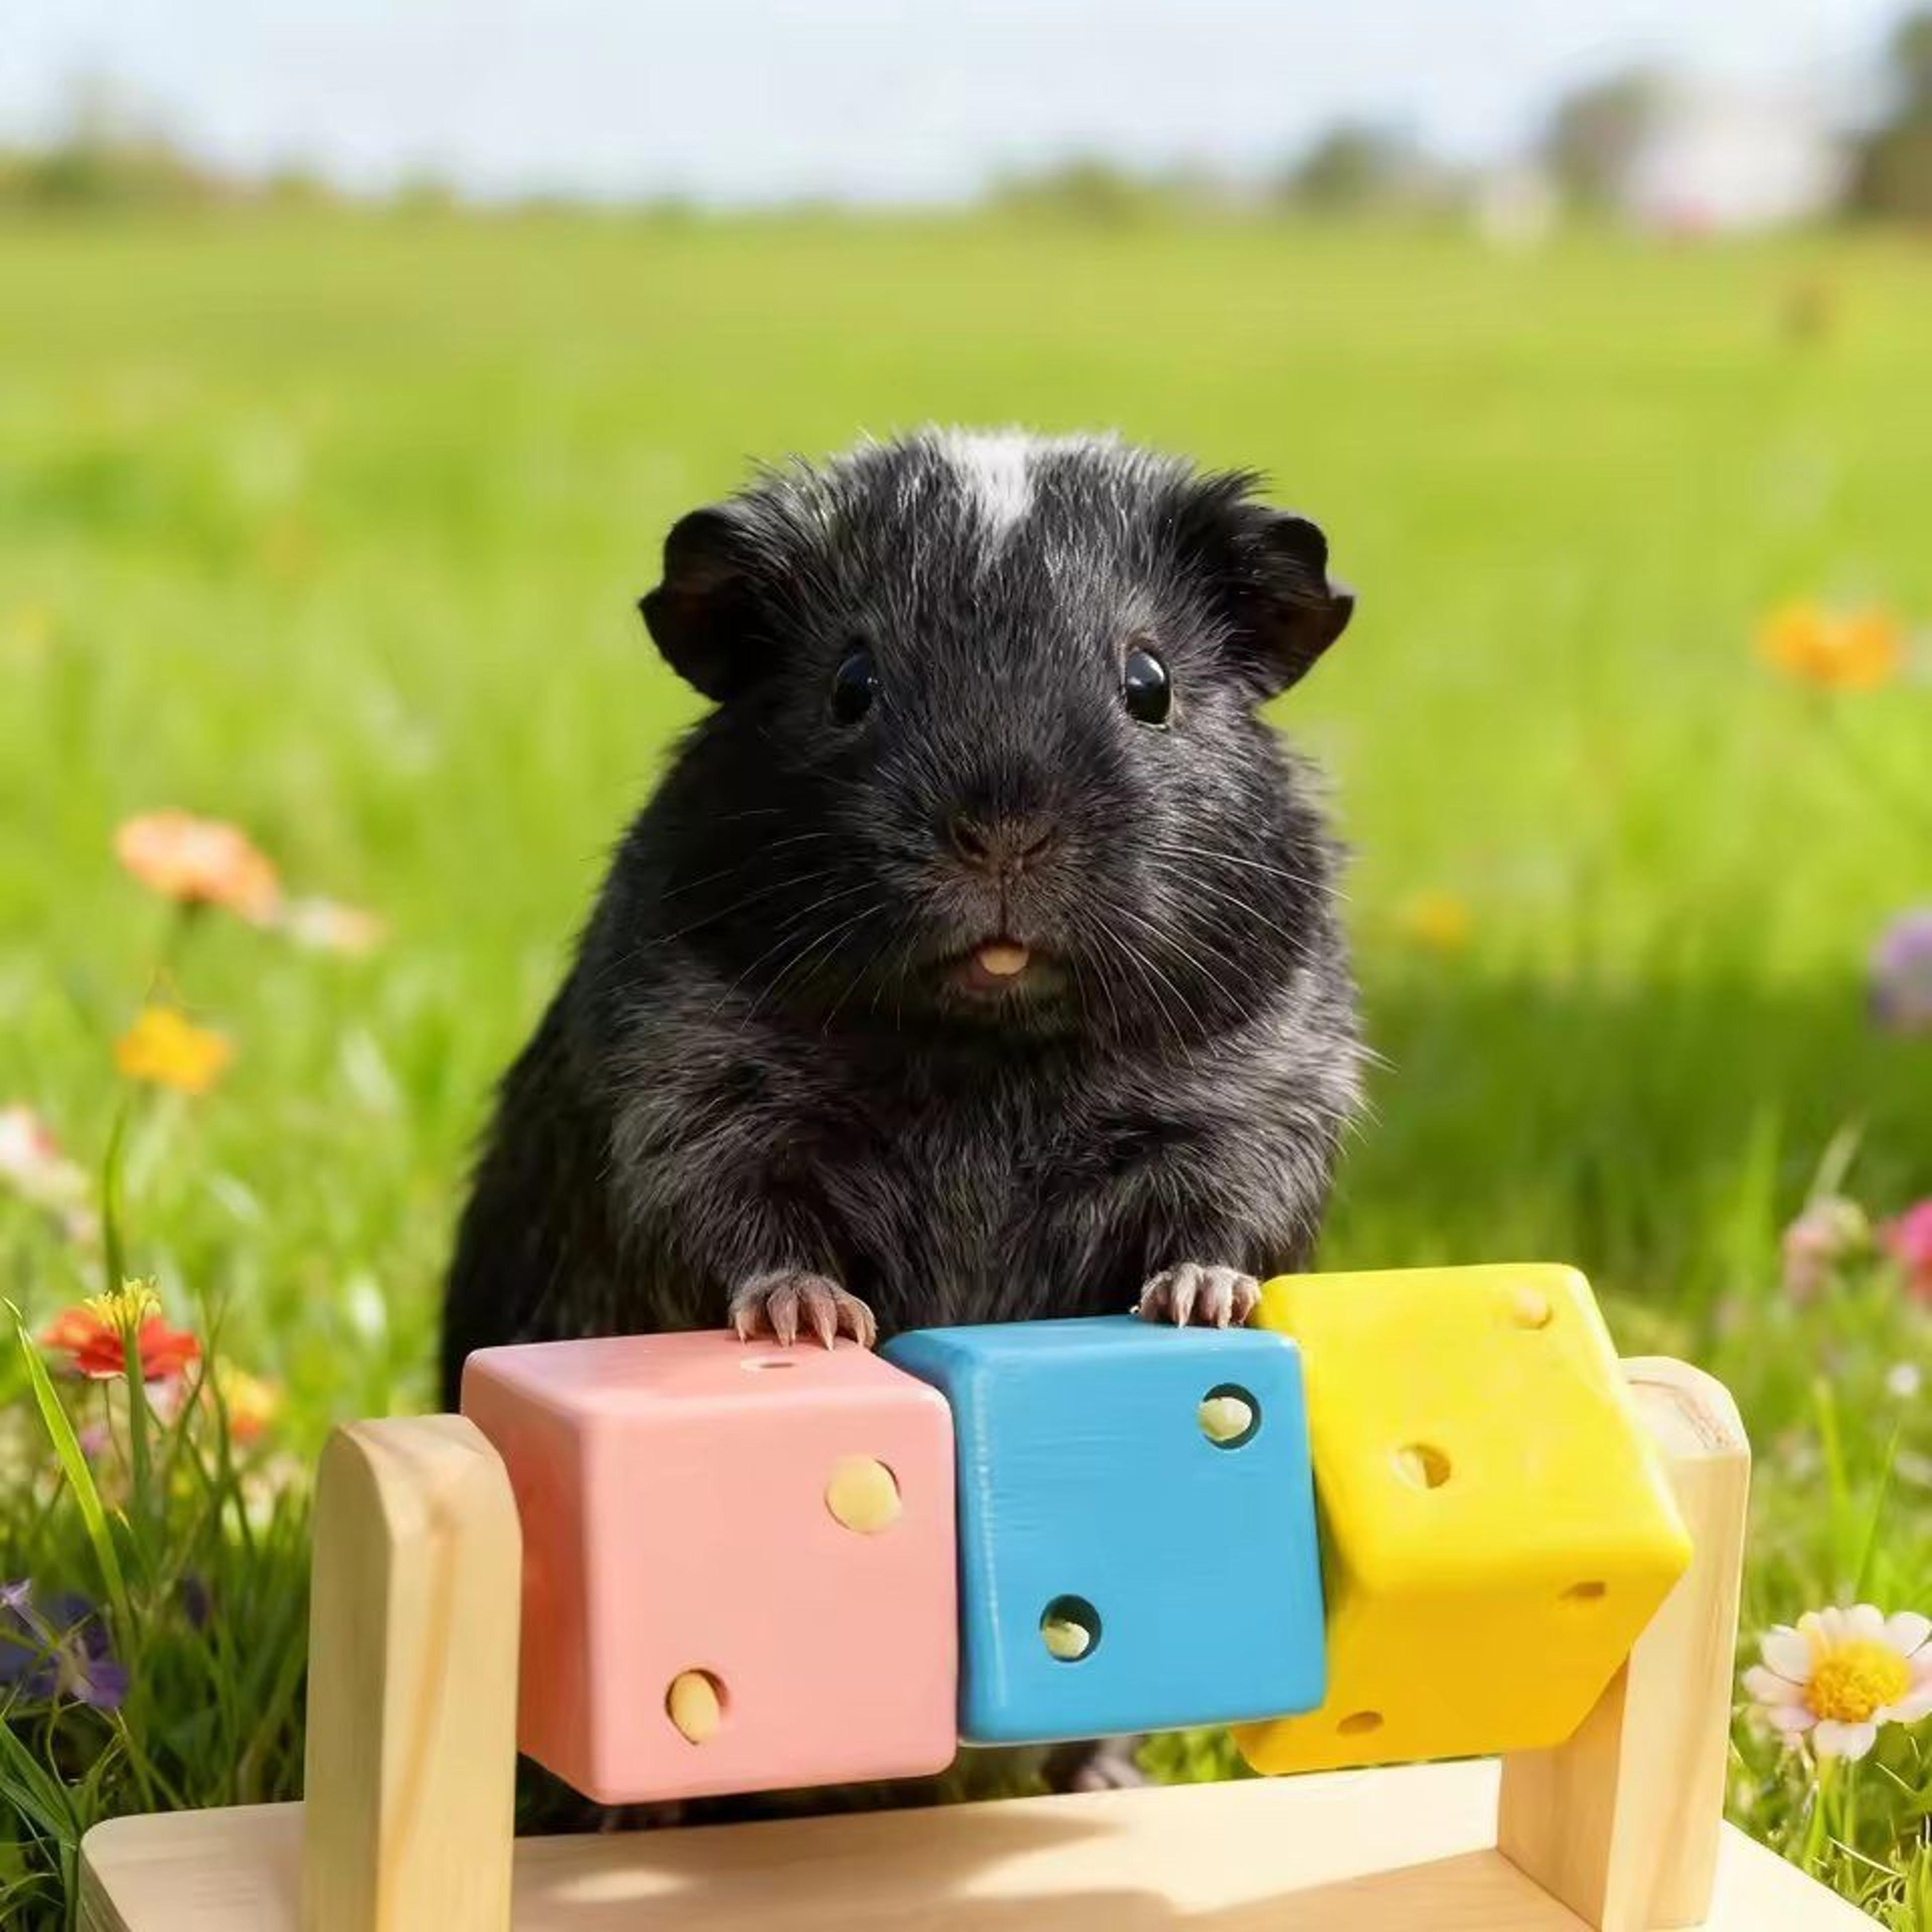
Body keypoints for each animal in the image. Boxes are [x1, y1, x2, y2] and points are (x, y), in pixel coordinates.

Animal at [441, 428, 1361, 1405]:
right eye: (852, 683)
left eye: (1150, 683)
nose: (1003, 831)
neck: (988, 1064)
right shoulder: (691, 1104)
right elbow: (746, 1233)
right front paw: (810, 1322)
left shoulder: (1258, 1107)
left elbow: (1224, 1218)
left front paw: (1201, 1302)